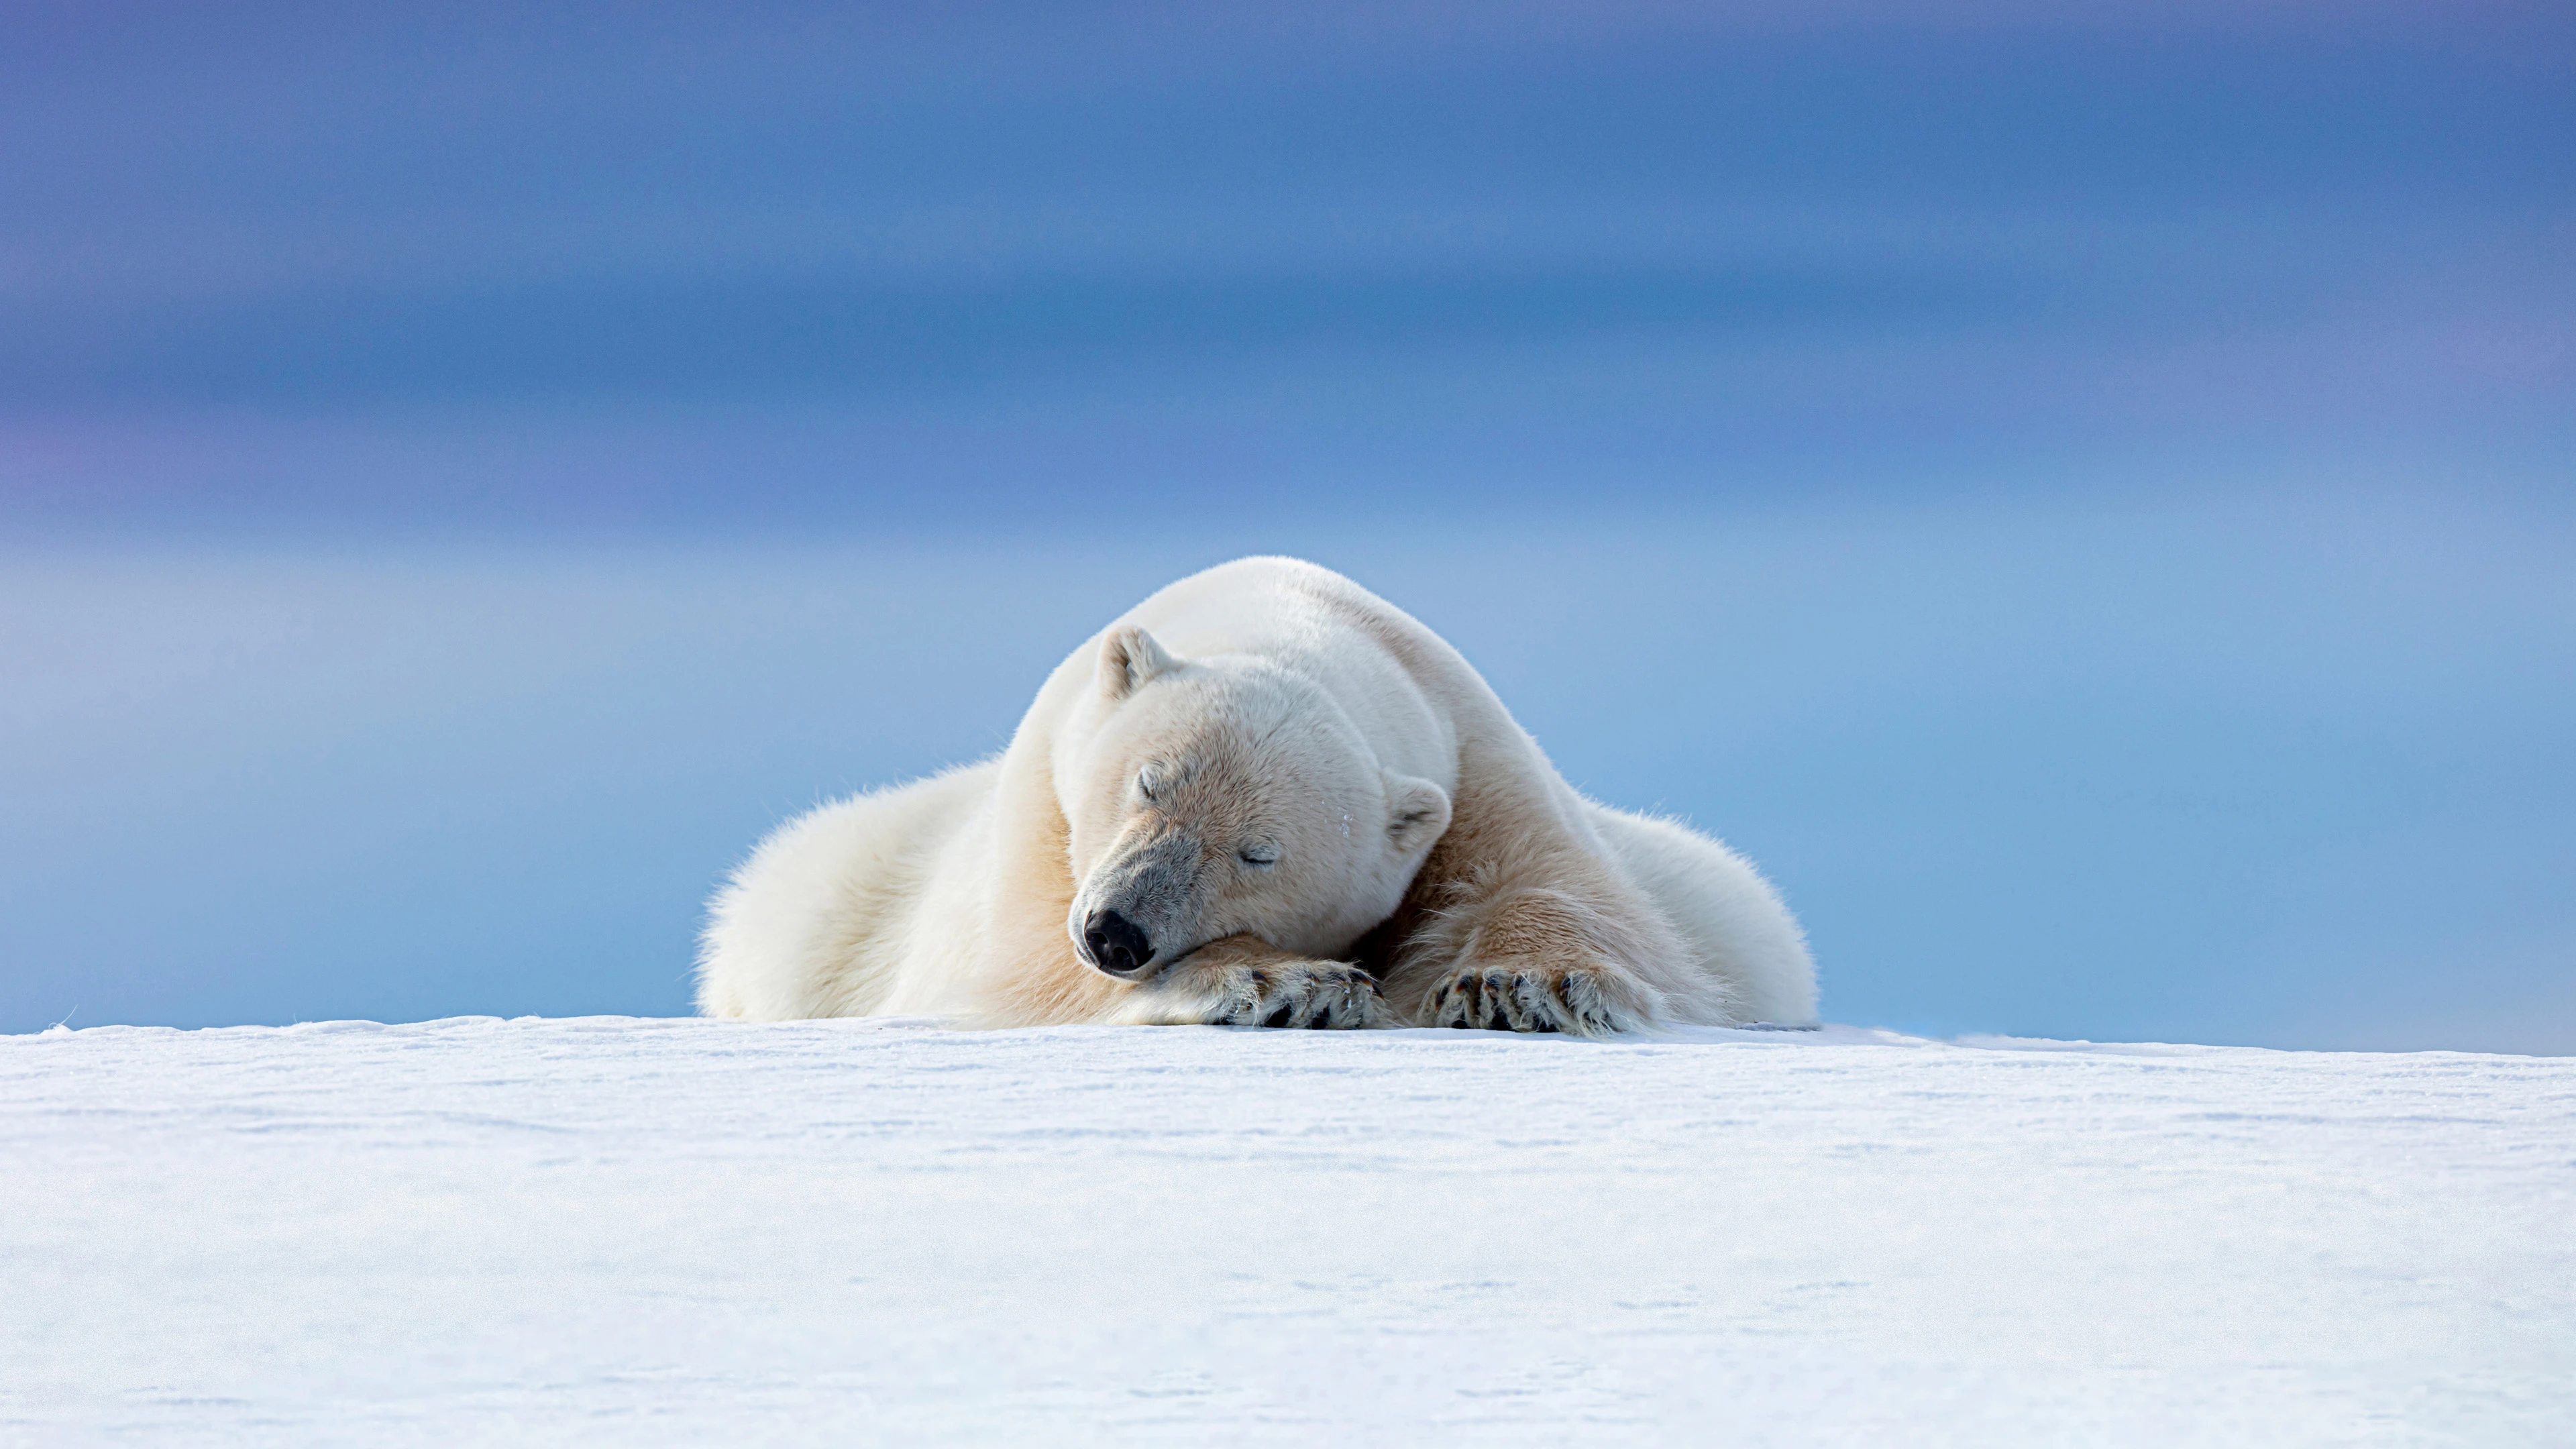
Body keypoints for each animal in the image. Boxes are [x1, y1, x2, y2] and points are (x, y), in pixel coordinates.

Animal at [697, 556, 1817, 1034]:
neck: (1292, 618)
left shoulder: (1475, 759)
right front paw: (1286, 982)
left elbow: (1573, 891)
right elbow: (1021, 966)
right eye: (1148, 783)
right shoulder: (1043, 813)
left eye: (1259, 852)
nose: (1117, 933)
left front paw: (1510, 984)